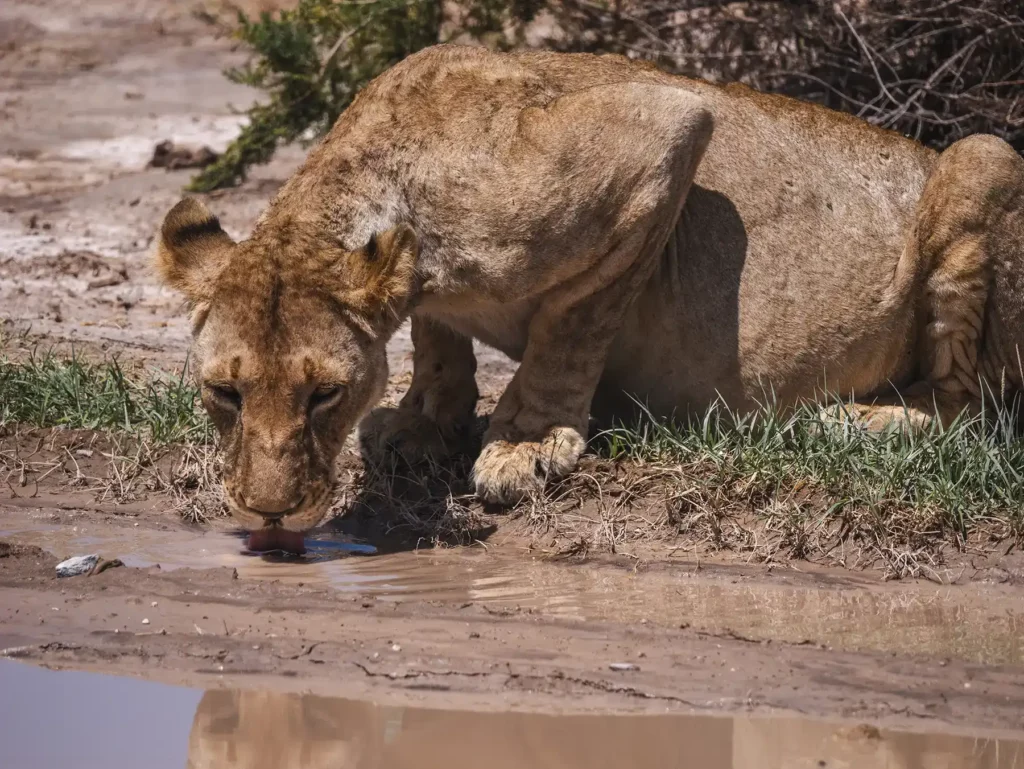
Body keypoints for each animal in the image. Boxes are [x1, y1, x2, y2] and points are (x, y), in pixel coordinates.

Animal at [156, 44, 1024, 548]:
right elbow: (437, 334)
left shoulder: (662, 135)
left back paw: (859, 417)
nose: (269, 512)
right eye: (225, 392)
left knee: (970, 405)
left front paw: (526, 443)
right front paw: (425, 418)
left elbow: (570, 329)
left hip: (985, 158)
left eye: (324, 394)